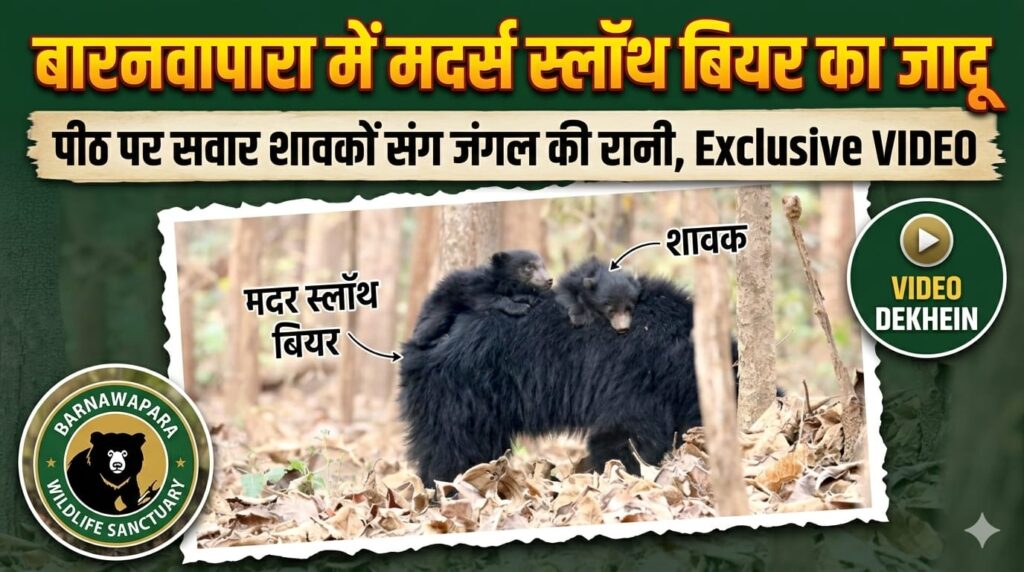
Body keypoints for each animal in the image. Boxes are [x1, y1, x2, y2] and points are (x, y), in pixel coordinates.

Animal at [408, 250, 553, 349]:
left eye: (543, 266)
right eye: (529, 267)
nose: (549, 280)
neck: (502, 281)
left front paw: (530, 298)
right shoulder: (474, 287)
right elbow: (486, 299)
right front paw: (520, 308)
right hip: (441, 307)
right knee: (427, 329)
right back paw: (439, 339)